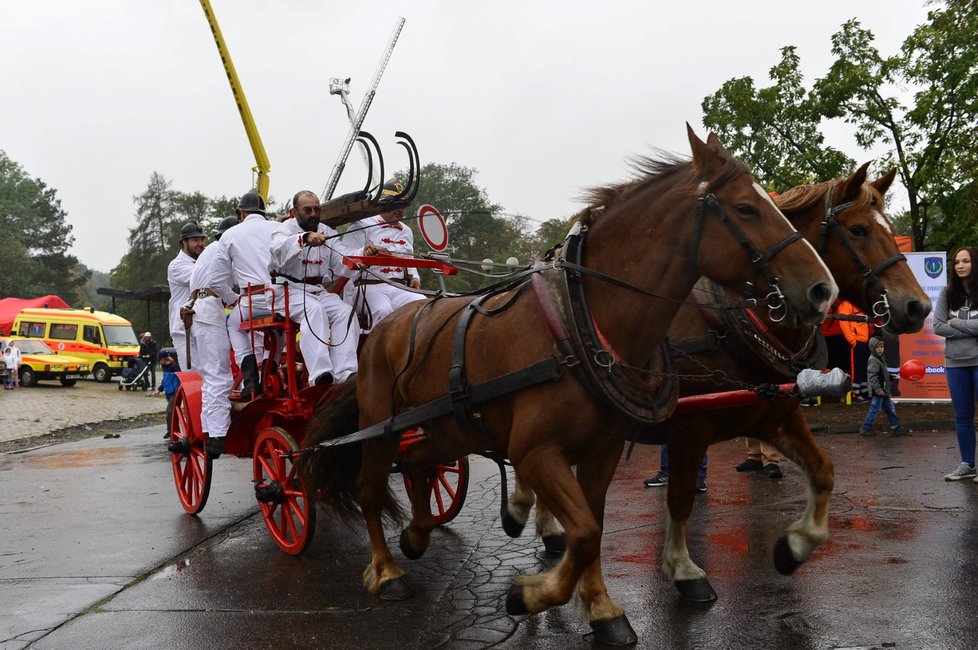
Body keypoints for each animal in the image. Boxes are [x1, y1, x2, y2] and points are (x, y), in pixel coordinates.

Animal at [298, 125, 832, 644]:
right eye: (745, 208)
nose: (823, 290)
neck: (582, 321)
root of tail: (387, 323)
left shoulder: (605, 449)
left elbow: (593, 527)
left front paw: (600, 607)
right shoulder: (541, 451)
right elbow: (586, 532)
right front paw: (531, 595)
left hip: (450, 429)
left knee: (418, 464)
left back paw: (418, 533)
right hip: (379, 427)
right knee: (371, 489)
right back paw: (387, 570)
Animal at [510, 159, 932, 600]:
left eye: (890, 229)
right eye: (859, 230)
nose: (918, 306)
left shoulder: (775, 416)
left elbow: (823, 470)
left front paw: (795, 546)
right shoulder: (689, 429)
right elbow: (680, 500)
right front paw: (684, 569)